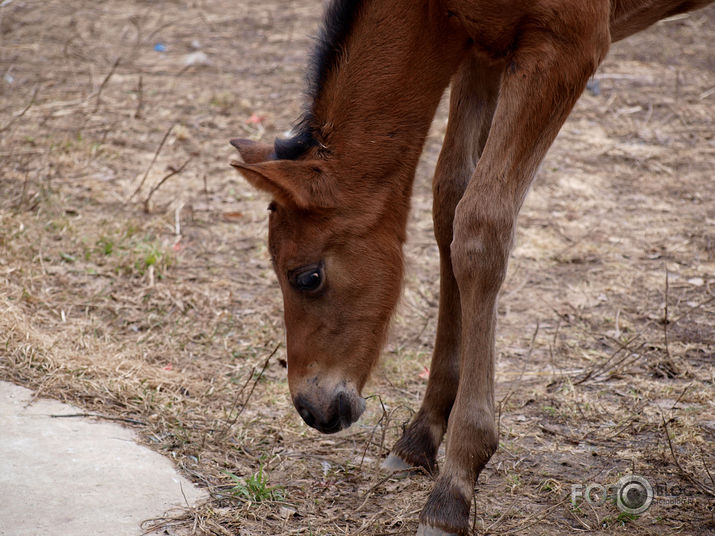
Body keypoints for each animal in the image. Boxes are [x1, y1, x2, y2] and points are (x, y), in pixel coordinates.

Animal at [232, 0, 712, 532]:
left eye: (308, 277)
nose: (312, 409)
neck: (431, 10)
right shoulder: (479, 51)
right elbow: (450, 200)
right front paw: (420, 437)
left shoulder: (568, 47)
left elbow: (481, 227)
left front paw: (453, 490)